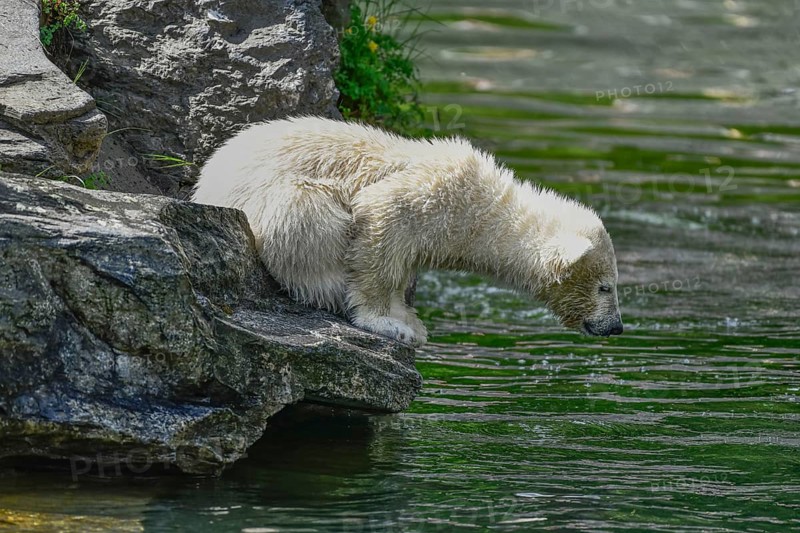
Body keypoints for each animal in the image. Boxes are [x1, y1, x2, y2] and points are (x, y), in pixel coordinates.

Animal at [192, 116, 623, 346]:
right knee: (307, 214)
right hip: (280, 195)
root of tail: (203, 184)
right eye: (606, 287)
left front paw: (410, 319)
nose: (617, 326)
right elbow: (381, 218)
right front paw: (390, 323)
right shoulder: (430, 195)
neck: (482, 208)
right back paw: (327, 285)